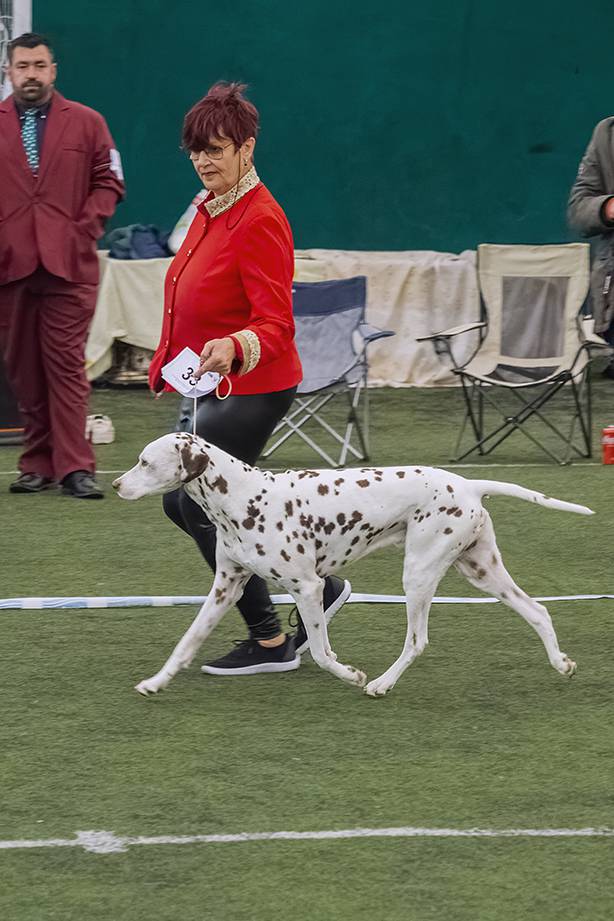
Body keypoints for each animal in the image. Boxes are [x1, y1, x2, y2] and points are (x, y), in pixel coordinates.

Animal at [113, 432, 596, 696]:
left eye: (144, 462)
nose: (116, 484)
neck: (243, 497)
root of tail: (468, 484)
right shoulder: (225, 587)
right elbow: (186, 643)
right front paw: (156, 682)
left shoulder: (306, 588)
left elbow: (323, 654)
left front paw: (351, 675)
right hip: (482, 572)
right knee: (538, 611)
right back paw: (561, 664)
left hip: (418, 576)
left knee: (417, 641)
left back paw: (380, 684)